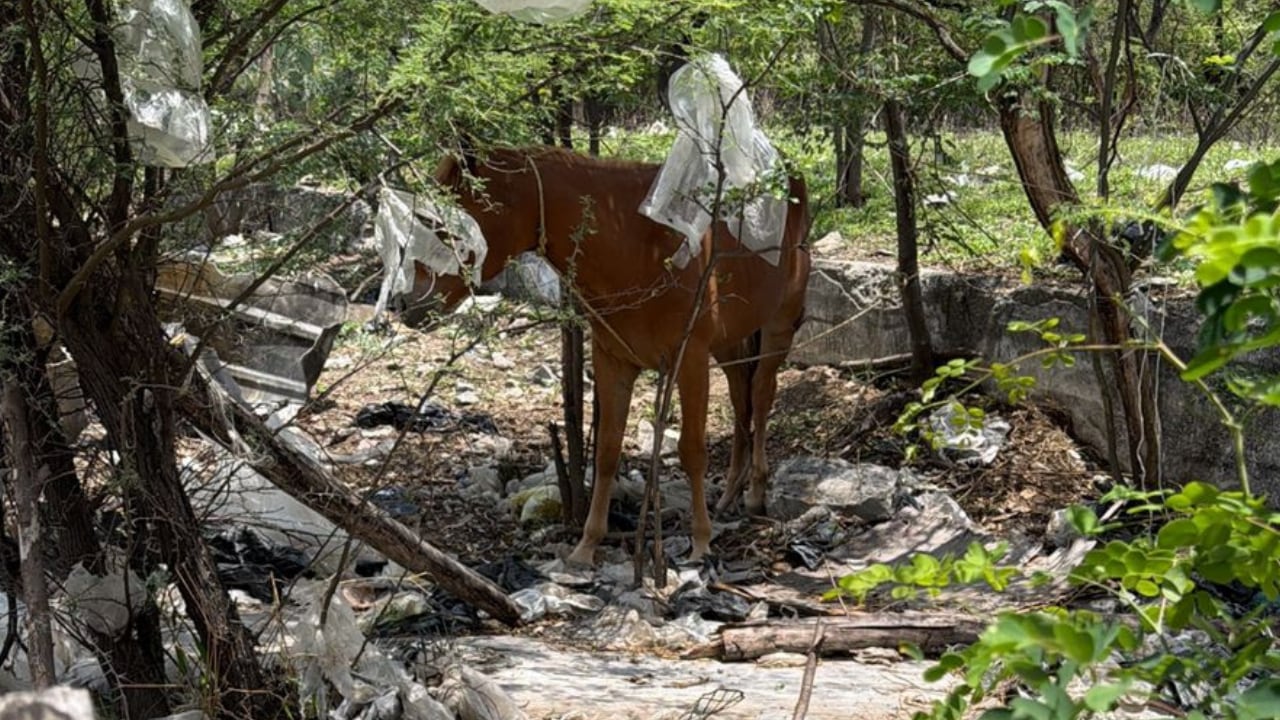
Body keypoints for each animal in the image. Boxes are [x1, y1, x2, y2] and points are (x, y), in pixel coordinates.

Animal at [405, 145, 811, 565]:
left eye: (447, 224)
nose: (408, 302)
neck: (635, 242)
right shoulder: (613, 361)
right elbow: (607, 453)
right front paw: (587, 545)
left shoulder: (691, 360)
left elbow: (692, 451)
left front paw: (700, 541)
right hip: (731, 342)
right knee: (740, 398)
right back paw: (730, 494)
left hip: (778, 325)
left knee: (760, 397)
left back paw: (756, 493)